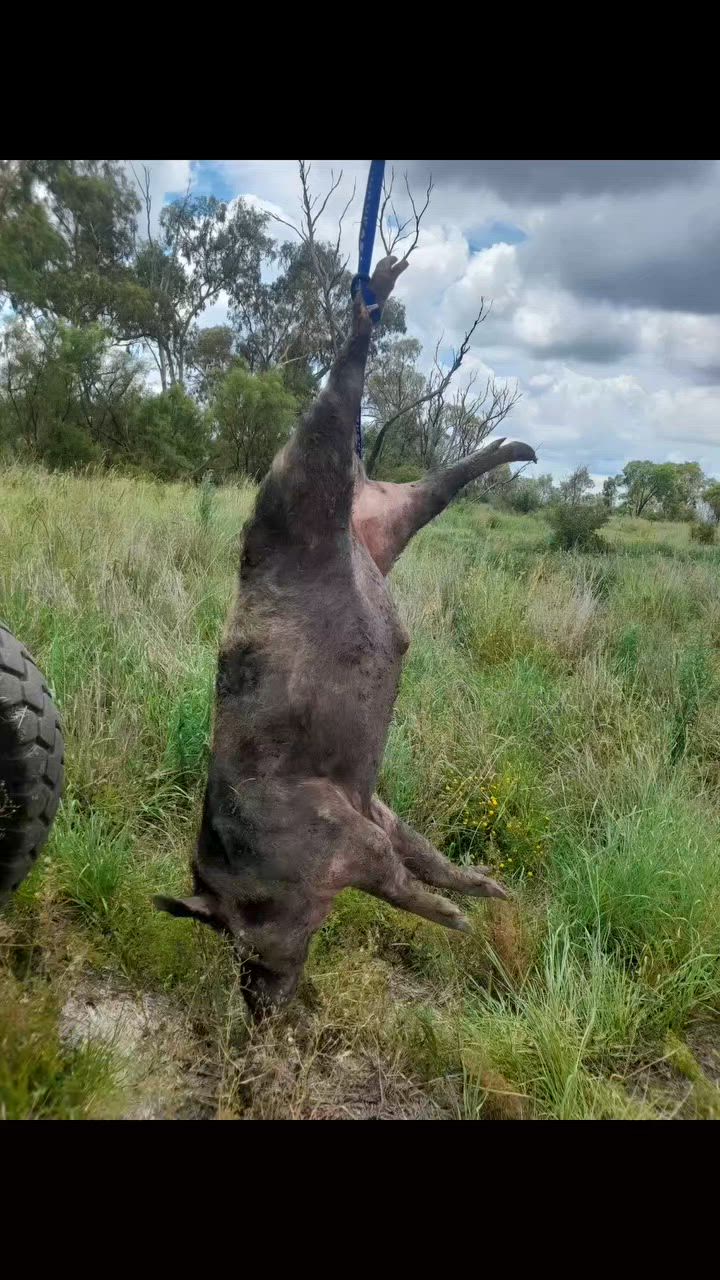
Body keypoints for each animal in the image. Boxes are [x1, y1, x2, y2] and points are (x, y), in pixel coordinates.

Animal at [154, 255, 536, 1016]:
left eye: (239, 938)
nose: (259, 1015)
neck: (261, 860)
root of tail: (361, 494)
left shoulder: (344, 835)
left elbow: (398, 881)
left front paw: (461, 920)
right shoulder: (371, 808)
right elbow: (421, 852)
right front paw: (493, 892)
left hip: (305, 476)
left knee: (342, 385)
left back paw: (375, 292)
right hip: (389, 518)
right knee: (440, 482)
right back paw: (521, 446)